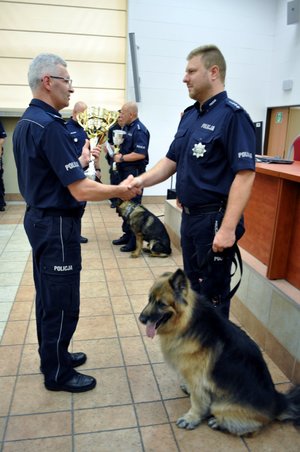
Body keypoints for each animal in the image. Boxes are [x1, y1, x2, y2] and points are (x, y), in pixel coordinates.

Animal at [139, 270, 300, 436]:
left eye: (161, 304)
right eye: (150, 299)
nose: (141, 319)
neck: (188, 322)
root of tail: (279, 402)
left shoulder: (198, 380)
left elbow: (197, 402)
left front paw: (191, 418)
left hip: (221, 406)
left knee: (252, 427)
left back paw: (219, 423)